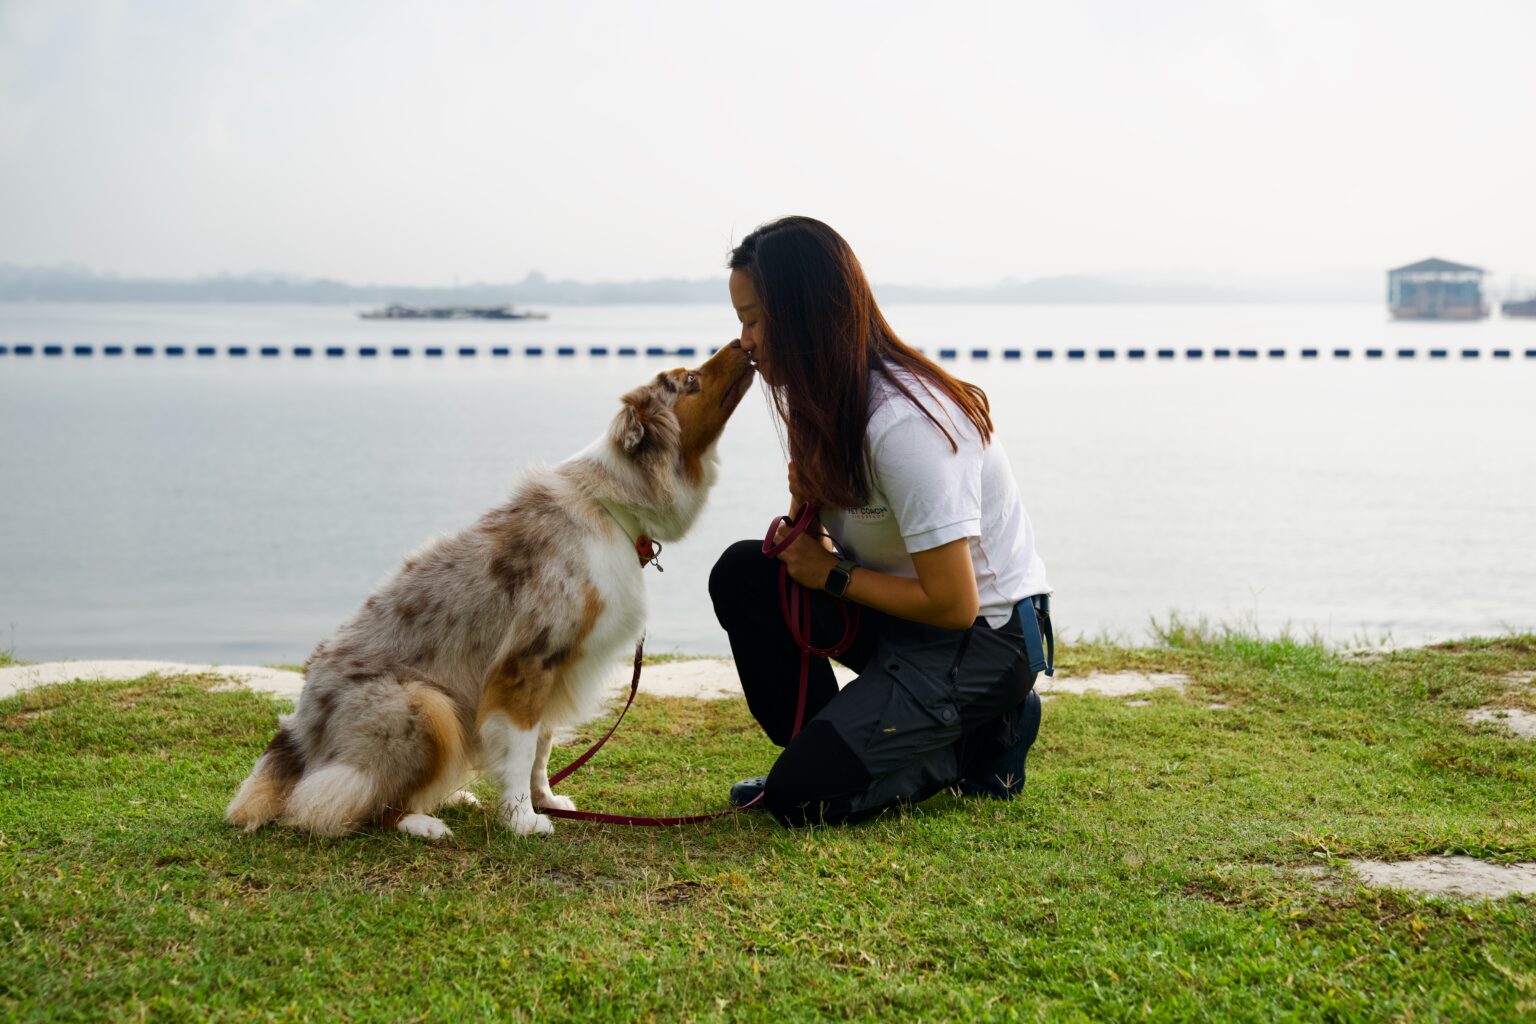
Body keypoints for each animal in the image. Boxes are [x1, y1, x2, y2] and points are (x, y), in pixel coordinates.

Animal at [227, 343, 755, 841]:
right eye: (691, 380)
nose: (739, 343)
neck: (611, 501)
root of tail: (299, 736)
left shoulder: (555, 667)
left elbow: (542, 744)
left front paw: (544, 800)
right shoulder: (527, 660)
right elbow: (520, 748)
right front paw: (521, 820)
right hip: (425, 706)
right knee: (341, 804)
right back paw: (423, 823)